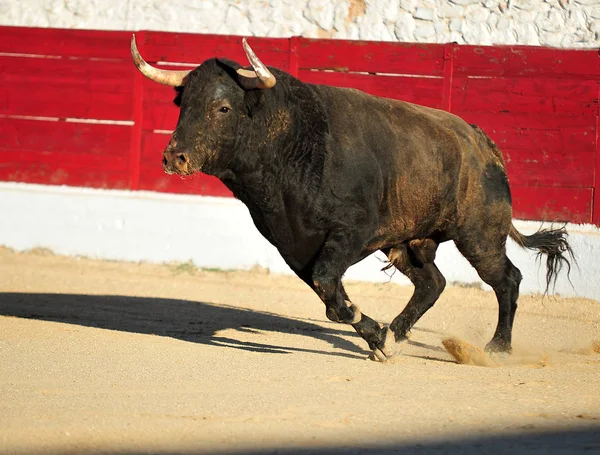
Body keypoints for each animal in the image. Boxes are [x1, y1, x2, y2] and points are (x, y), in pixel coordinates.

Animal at [130, 35, 572, 362]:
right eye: (183, 105)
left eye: (223, 107)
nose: (174, 157)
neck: (293, 143)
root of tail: (483, 142)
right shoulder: (294, 245)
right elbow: (328, 294)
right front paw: (379, 339)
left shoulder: (351, 233)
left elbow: (329, 288)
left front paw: (373, 331)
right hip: (410, 242)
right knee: (433, 283)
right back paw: (397, 334)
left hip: (478, 235)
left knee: (506, 279)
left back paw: (496, 348)